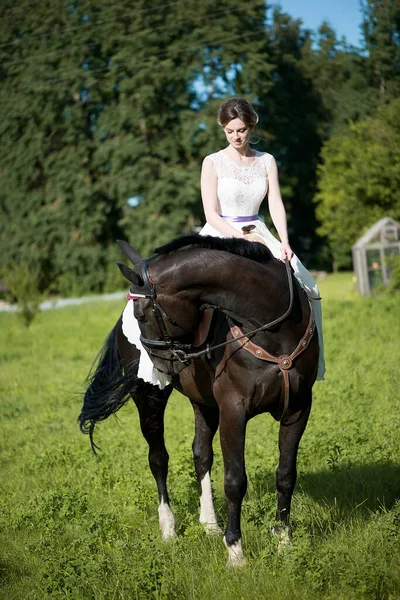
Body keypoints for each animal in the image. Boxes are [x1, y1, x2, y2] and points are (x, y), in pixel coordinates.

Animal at [79, 236, 318, 568]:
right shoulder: (233, 410)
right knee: (158, 458)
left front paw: (284, 543)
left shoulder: (298, 408)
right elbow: (234, 481)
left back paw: (209, 524)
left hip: (204, 403)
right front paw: (236, 553)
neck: (274, 327)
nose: (159, 364)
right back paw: (169, 528)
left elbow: (285, 475)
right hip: (149, 398)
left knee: (201, 454)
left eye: (143, 315)